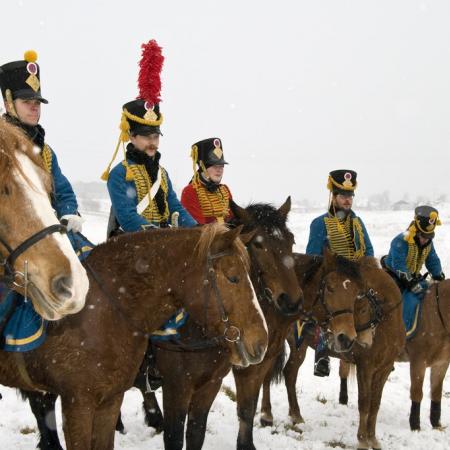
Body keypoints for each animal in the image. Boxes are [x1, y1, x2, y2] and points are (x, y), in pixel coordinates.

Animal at [0, 225, 268, 450]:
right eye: (233, 277)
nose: (261, 342)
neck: (104, 310)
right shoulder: (81, 403)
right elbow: (173, 437)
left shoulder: (115, 398)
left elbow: (195, 435)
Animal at [260, 253, 404, 450]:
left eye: (358, 302)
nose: (351, 338)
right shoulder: (365, 367)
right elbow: (365, 403)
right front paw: (362, 439)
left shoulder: (384, 369)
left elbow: (375, 404)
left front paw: (373, 438)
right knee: (268, 374)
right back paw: (267, 414)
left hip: (299, 345)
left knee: (289, 372)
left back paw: (296, 415)